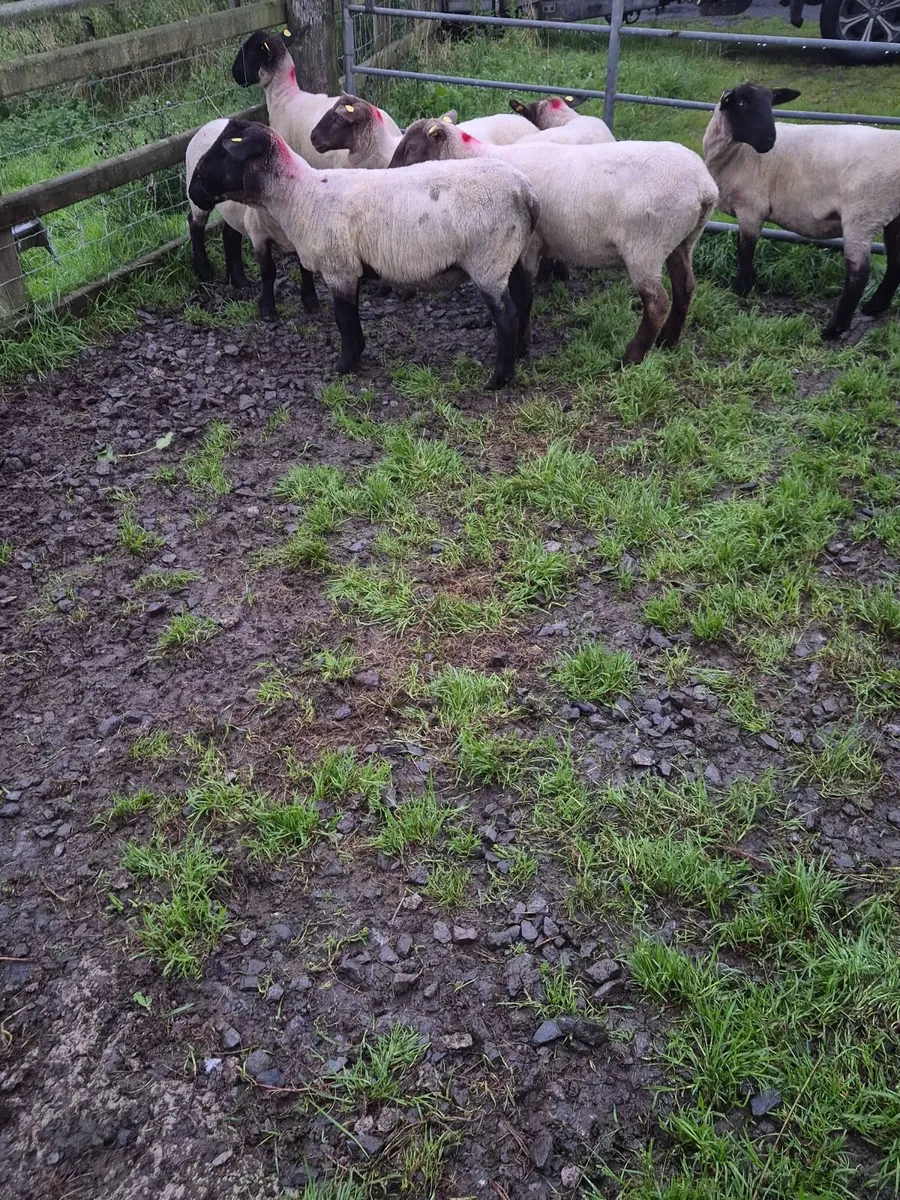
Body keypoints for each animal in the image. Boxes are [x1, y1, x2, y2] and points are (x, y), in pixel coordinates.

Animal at [186, 118, 318, 319]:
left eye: (223, 152)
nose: (193, 189)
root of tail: (211, 122)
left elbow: (305, 266)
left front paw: (310, 300)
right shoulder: (258, 236)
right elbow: (268, 271)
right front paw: (268, 309)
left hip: (232, 211)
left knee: (229, 234)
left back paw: (239, 280)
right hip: (202, 207)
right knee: (195, 225)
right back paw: (205, 271)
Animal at [389, 120, 718, 364]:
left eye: (412, 147)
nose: (388, 172)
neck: (475, 158)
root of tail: (705, 187)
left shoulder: (527, 244)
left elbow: (523, 297)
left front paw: (522, 346)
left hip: (645, 247)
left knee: (657, 302)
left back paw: (631, 357)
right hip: (682, 241)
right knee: (685, 287)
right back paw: (668, 342)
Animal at [703, 82, 900, 338]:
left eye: (771, 103)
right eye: (742, 103)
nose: (769, 140)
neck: (735, 154)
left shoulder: (751, 207)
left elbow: (745, 250)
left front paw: (741, 289)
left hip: (862, 215)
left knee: (858, 274)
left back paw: (834, 329)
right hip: (893, 216)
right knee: (895, 261)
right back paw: (874, 307)